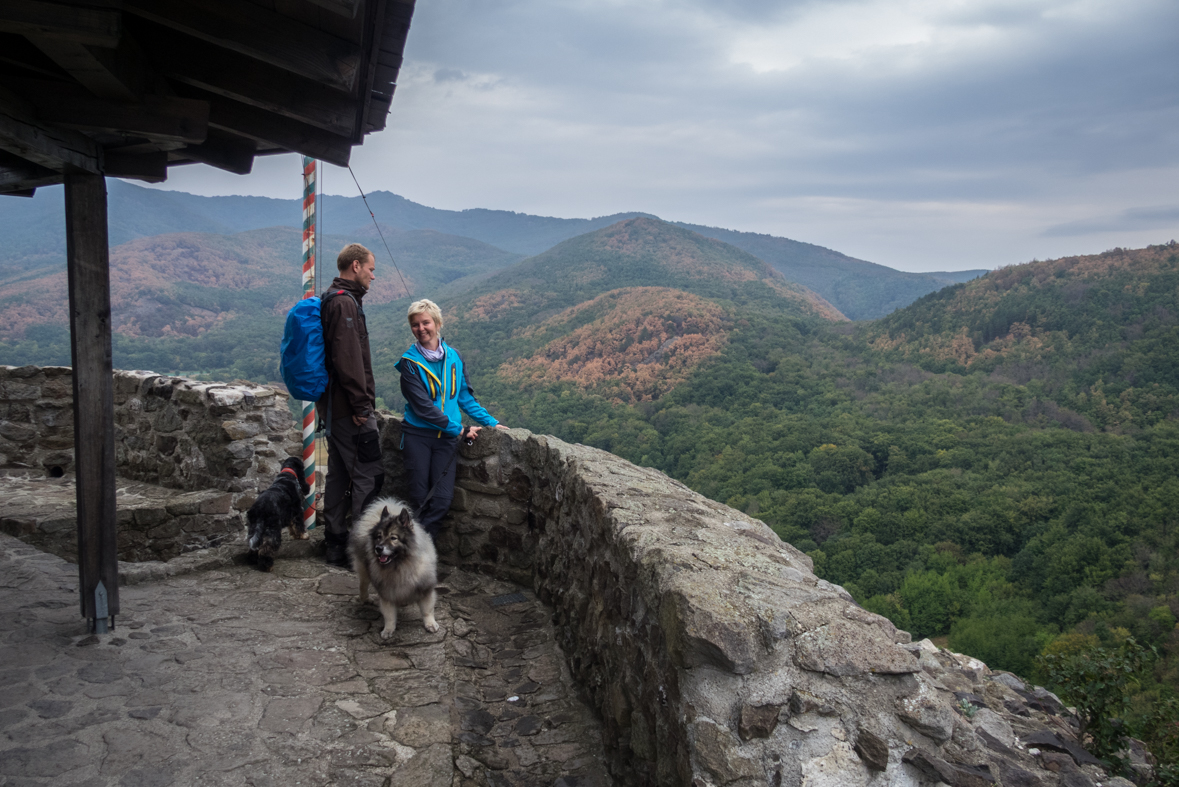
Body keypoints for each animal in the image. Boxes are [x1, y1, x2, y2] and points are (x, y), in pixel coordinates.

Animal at [351, 497, 443, 640]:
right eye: (379, 536)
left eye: (393, 538)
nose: (378, 548)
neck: (400, 565)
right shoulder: (387, 592)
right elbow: (389, 615)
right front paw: (388, 630)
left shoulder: (425, 588)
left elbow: (427, 610)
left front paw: (430, 624)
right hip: (365, 570)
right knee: (363, 585)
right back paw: (365, 599)